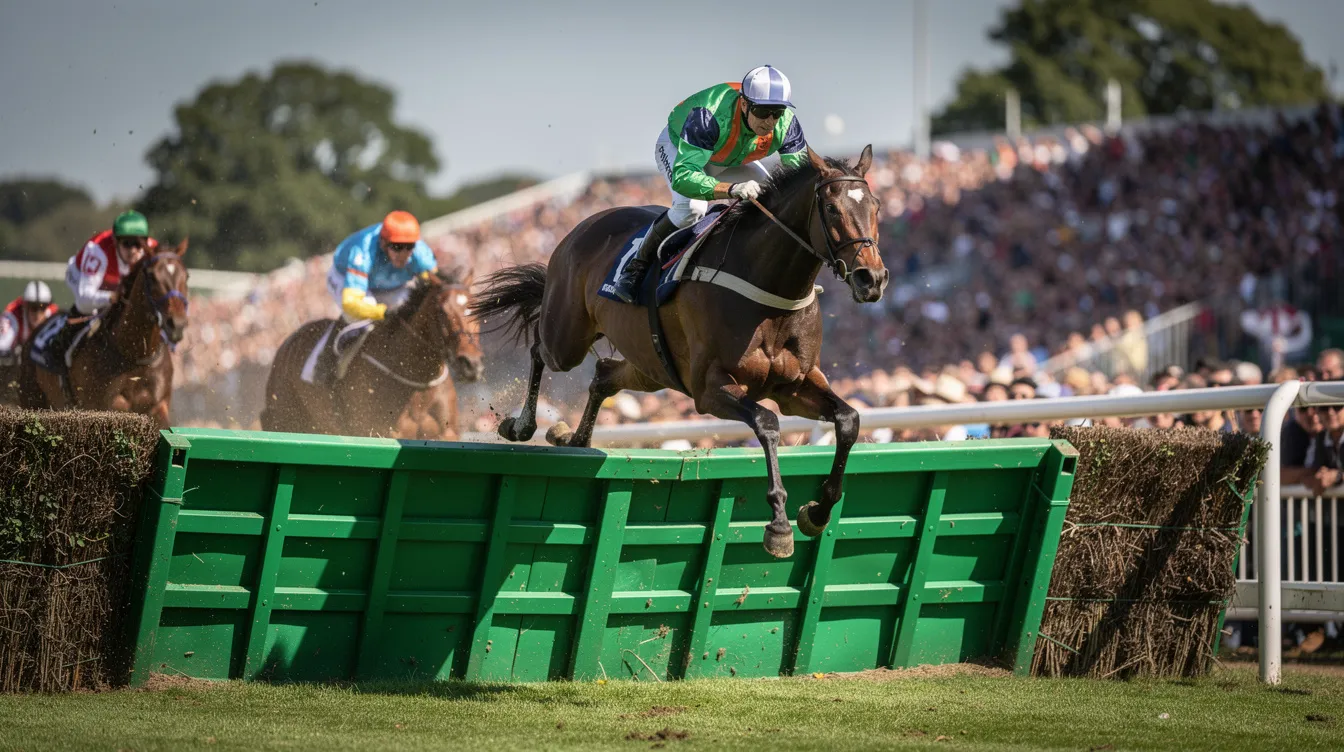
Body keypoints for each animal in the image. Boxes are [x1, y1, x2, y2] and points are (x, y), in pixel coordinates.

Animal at [18, 241, 191, 428]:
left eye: (187, 276)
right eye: (152, 276)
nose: (177, 324)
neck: (135, 354)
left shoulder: (158, 406)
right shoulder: (106, 406)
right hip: (32, 398)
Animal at [260, 269, 483, 438]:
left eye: (478, 309)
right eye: (442, 312)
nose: (471, 363)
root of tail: (287, 343)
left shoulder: (446, 434)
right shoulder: (379, 432)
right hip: (285, 416)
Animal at [472, 146, 887, 559]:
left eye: (877, 206)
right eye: (831, 209)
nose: (872, 279)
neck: (769, 292)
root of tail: (585, 225)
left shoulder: (796, 385)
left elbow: (848, 420)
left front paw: (817, 512)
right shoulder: (709, 388)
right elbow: (767, 423)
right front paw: (780, 526)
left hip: (652, 367)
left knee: (604, 373)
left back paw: (573, 438)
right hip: (568, 339)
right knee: (539, 349)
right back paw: (521, 425)